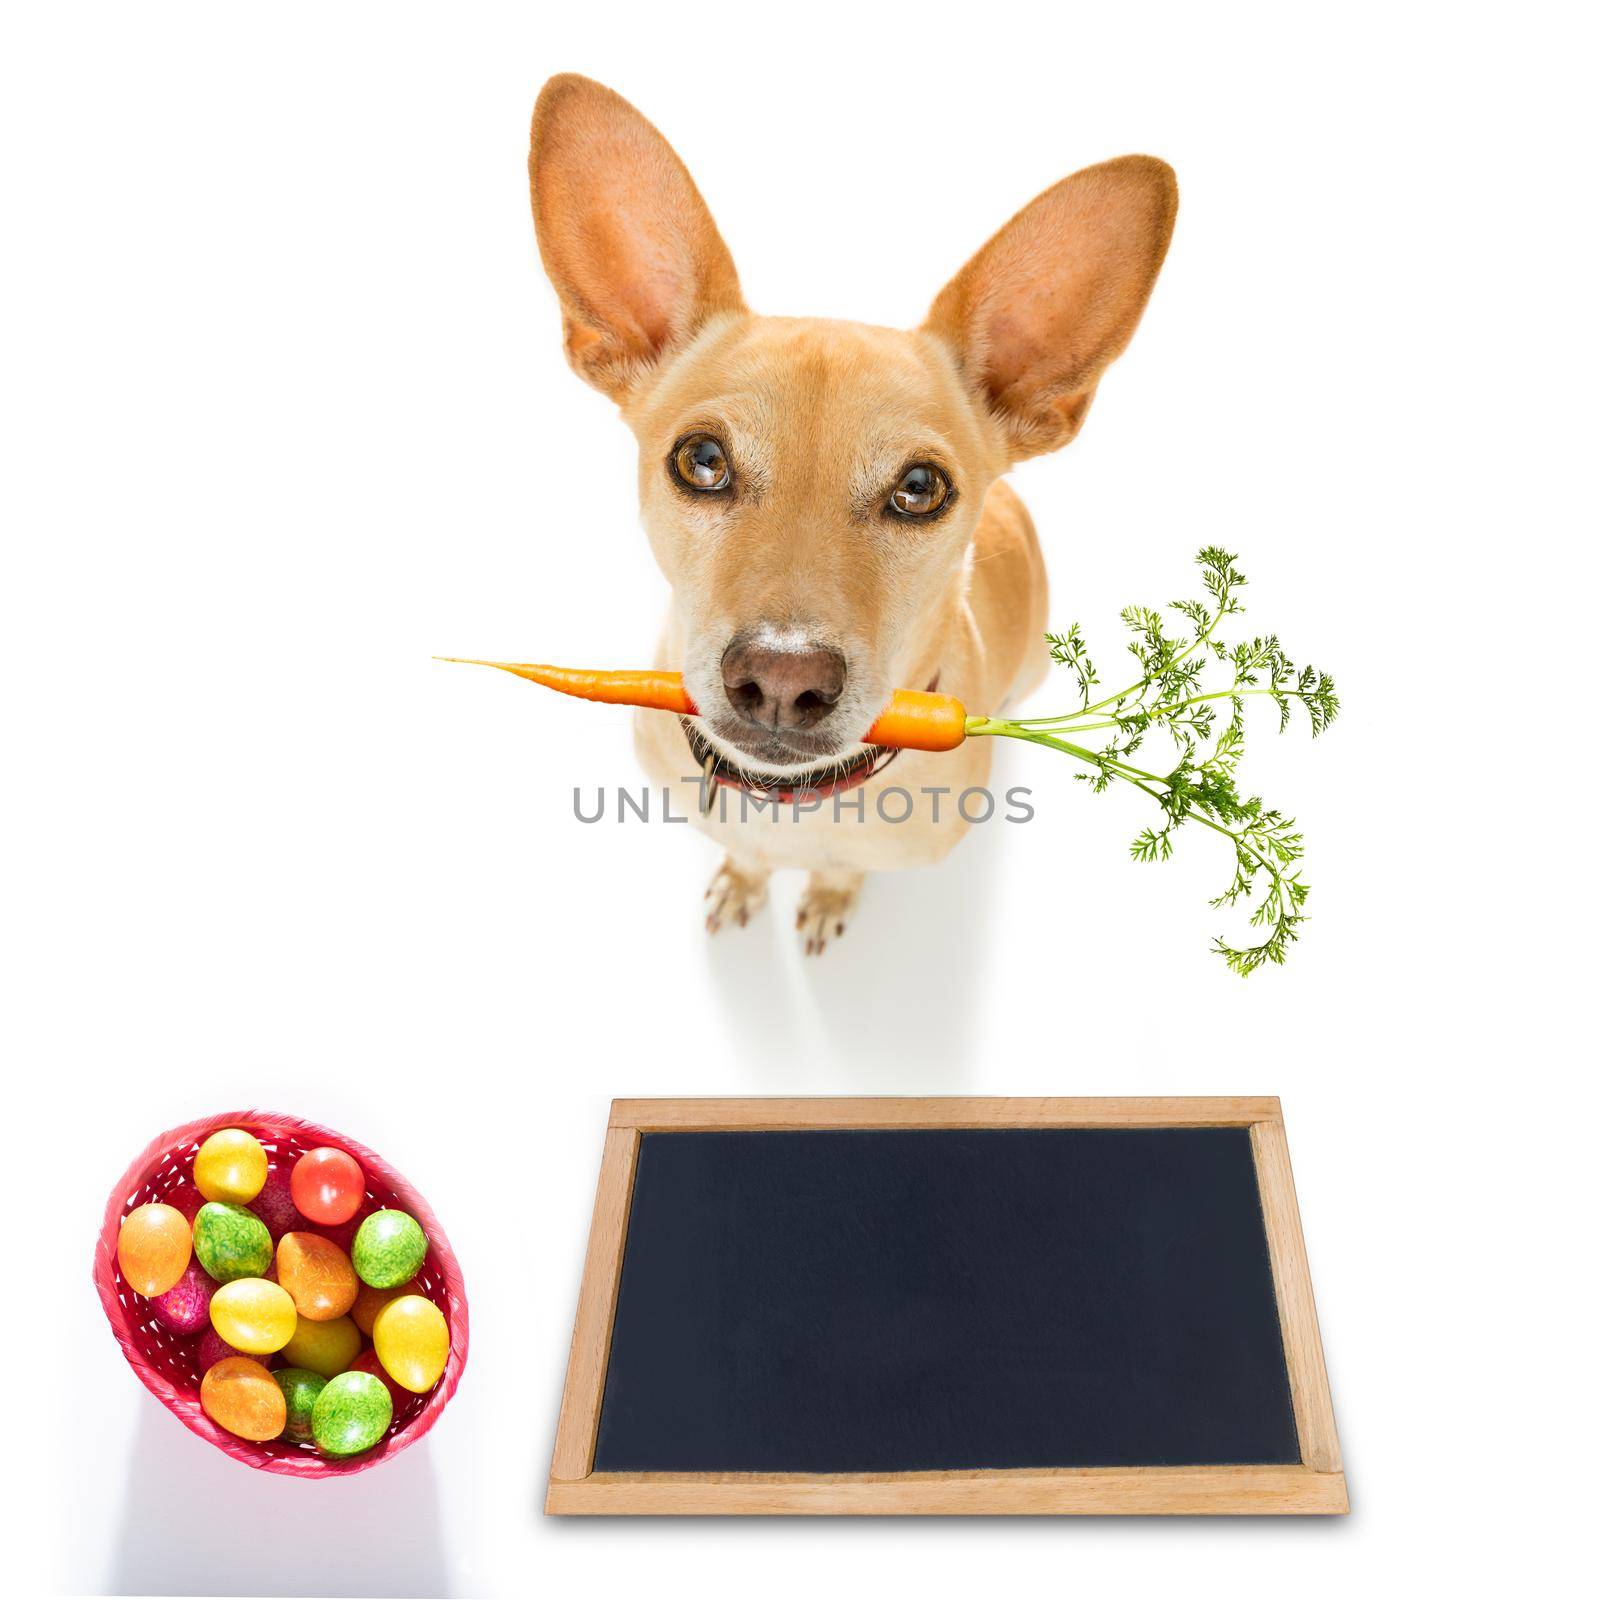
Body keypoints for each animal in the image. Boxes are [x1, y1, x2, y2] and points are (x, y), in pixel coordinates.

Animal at [531, 75, 1171, 947]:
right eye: (702, 461)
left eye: (920, 488)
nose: (780, 678)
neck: (789, 807)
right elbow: (748, 857)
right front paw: (744, 880)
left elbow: (843, 870)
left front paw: (829, 896)